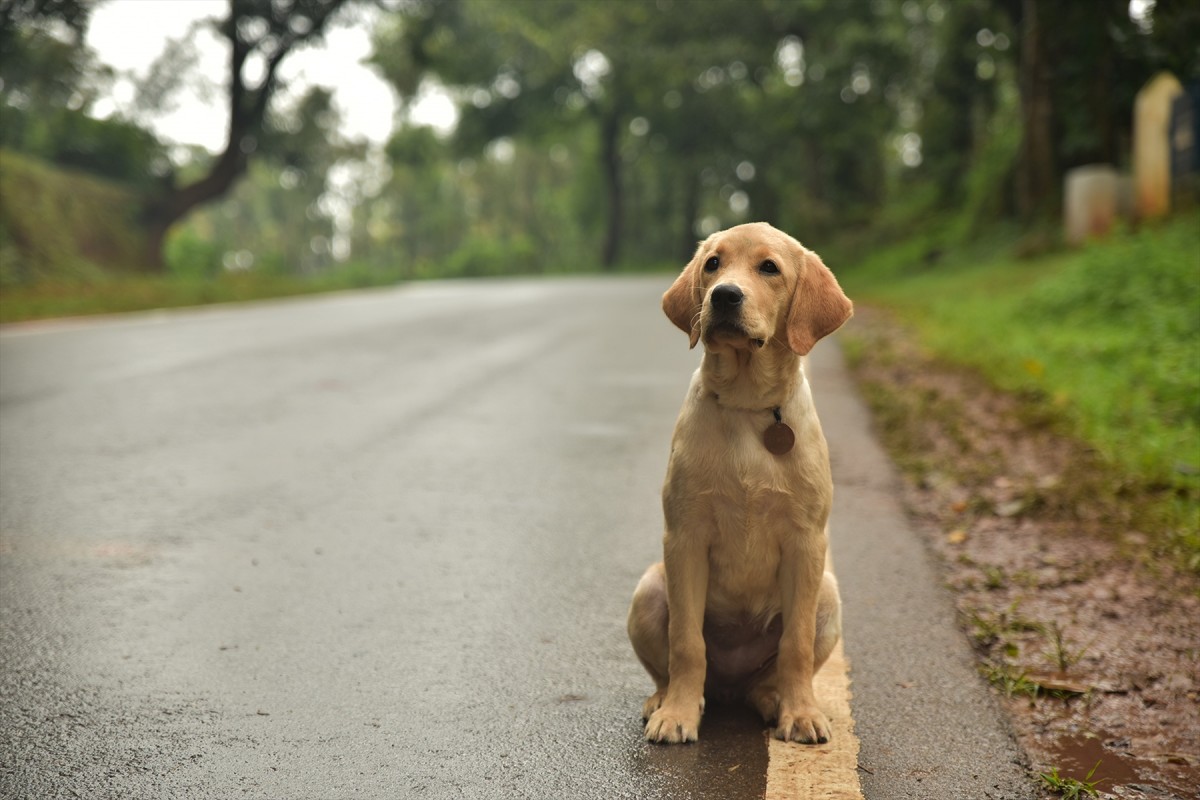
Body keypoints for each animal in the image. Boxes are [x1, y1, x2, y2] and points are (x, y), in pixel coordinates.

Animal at [628, 220, 854, 743]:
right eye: (713, 264)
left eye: (769, 268)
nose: (724, 295)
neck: (750, 406)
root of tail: (729, 687)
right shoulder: (685, 536)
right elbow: (686, 641)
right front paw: (678, 714)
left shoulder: (806, 541)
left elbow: (795, 645)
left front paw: (802, 713)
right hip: (649, 587)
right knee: (675, 665)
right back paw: (662, 700)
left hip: (828, 595)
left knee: (770, 674)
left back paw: (776, 700)